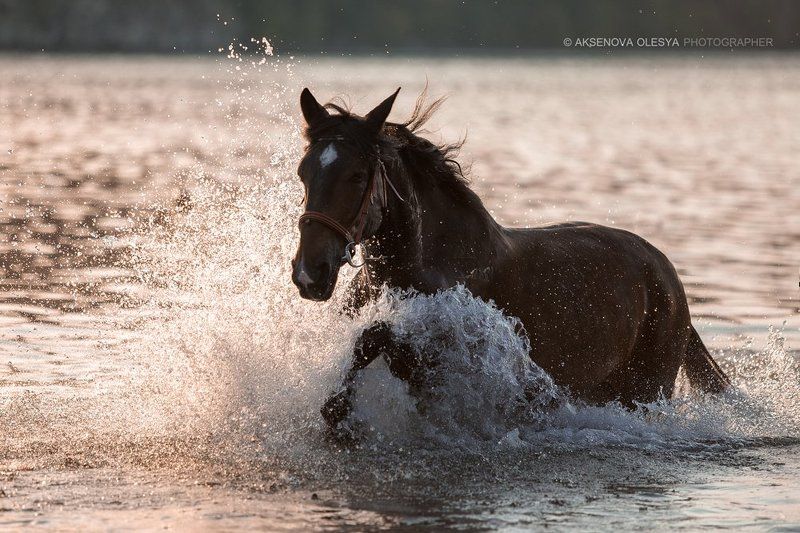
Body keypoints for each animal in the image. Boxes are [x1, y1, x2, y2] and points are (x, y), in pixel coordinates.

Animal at [290, 87, 731, 432]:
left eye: (358, 175)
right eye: (303, 172)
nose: (309, 273)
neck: (432, 264)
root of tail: (668, 275)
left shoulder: (444, 355)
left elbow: (375, 336)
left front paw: (339, 412)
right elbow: (366, 342)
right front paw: (335, 411)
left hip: (647, 391)